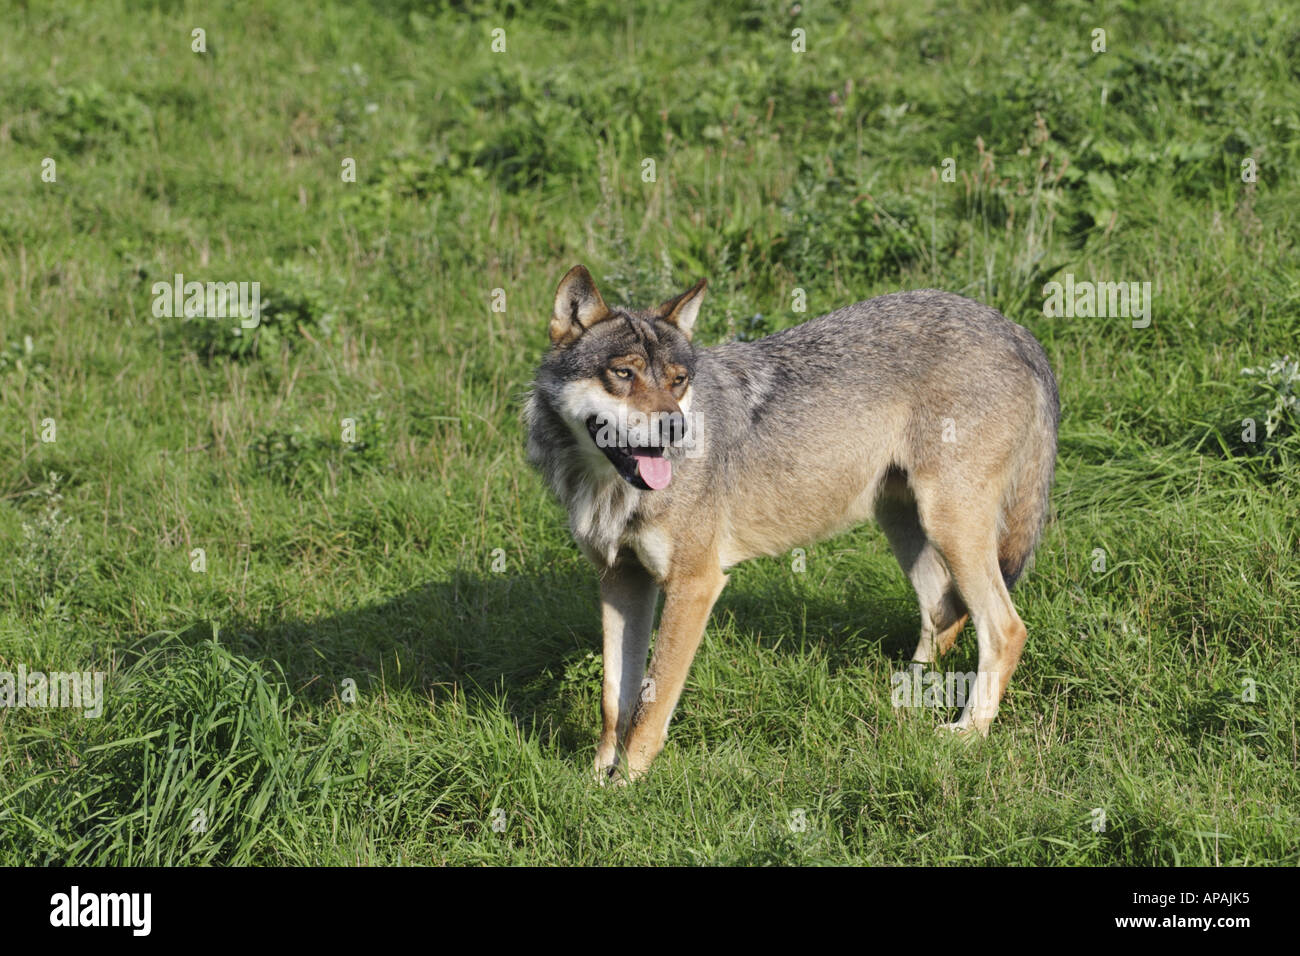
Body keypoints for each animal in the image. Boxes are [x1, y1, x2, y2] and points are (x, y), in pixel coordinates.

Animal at [526, 265, 1059, 783]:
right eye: (623, 373)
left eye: (678, 381)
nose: (677, 427)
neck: (611, 489)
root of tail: (1016, 329)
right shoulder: (620, 580)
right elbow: (614, 698)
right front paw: (596, 780)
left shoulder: (694, 584)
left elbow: (650, 705)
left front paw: (628, 785)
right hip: (907, 524)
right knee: (943, 612)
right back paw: (906, 696)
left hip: (949, 526)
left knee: (1005, 629)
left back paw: (968, 732)